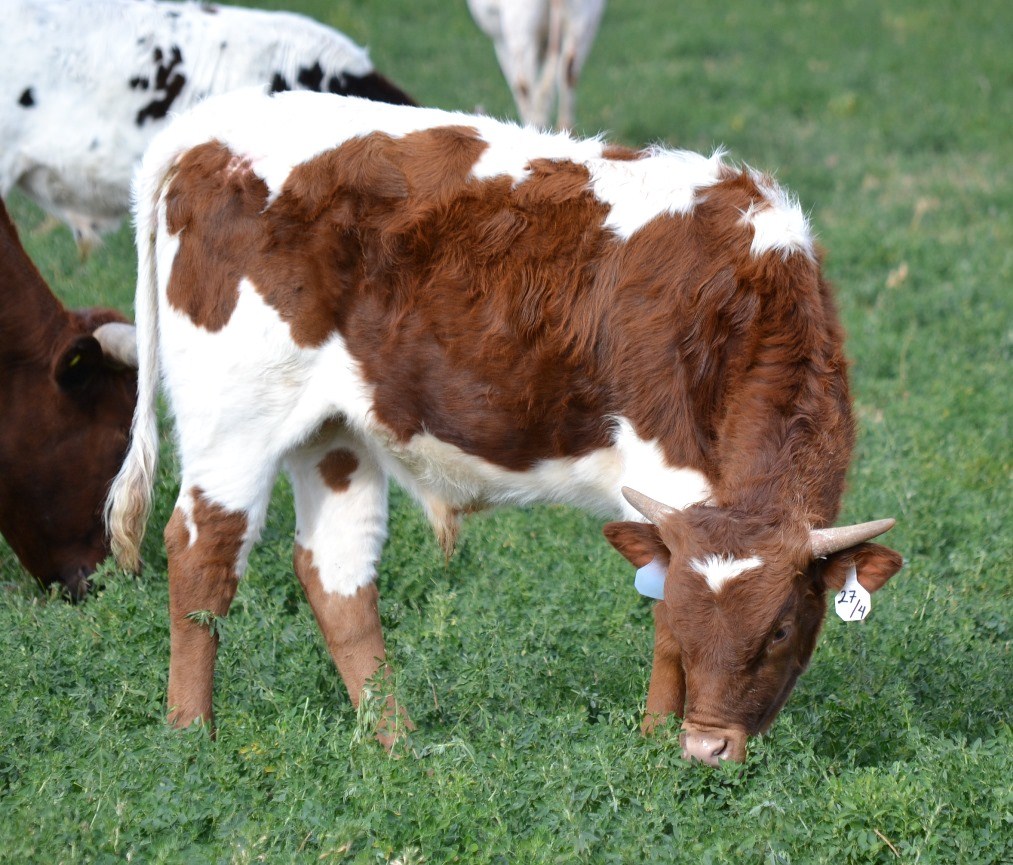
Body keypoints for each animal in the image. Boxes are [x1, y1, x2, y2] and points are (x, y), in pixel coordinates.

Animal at [105, 88, 902, 763]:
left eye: (780, 628)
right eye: (692, 616)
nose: (708, 747)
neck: (734, 299)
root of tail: (210, 128)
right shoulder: (663, 474)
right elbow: (661, 625)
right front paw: (654, 747)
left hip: (332, 433)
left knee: (336, 572)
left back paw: (397, 744)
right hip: (234, 419)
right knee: (203, 552)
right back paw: (191, 734)